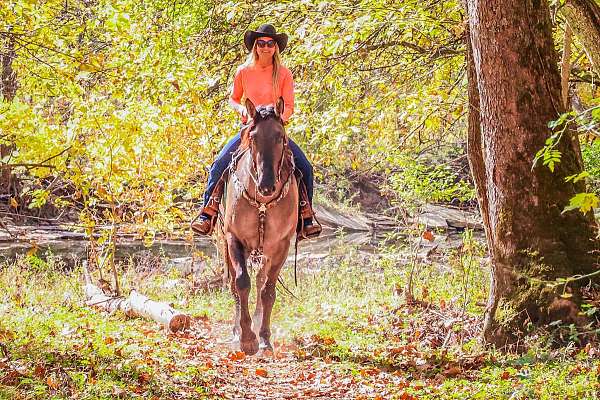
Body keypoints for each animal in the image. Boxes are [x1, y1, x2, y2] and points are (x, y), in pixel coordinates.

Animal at [218, 98, 298, 354]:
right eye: (252, 137)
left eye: (280, 136)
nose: (266, 185)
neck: (262, 202)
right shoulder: (233, 239)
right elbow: (242, 283)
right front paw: (246, 338)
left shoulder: (281, 246)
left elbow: (267, 291)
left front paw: (263, 337)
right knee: (234, 285)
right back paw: (236, 332)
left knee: (262, 282)